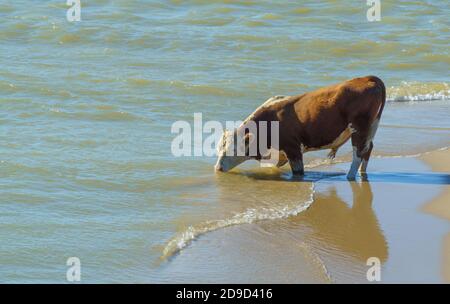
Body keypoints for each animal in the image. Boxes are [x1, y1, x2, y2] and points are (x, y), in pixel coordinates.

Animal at [216, 75, 384, 179]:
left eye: (234, 150)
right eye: (219, 148)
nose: (217, 168)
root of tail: (367, 79)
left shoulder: (293, 148)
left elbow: (298, 171)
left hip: (359, 128)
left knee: (358, 152)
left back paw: (350, 176)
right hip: (371, 127)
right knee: (368, 148)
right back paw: (362, 173)